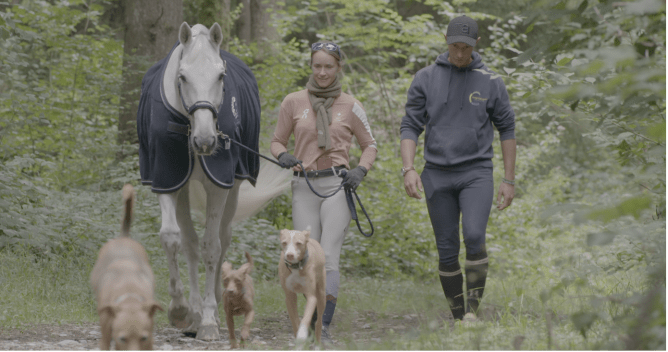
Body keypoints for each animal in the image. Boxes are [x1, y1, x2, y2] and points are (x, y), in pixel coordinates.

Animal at [90, 184, 163, 350]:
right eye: (123, 338)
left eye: (143, 338)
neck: (130, 296)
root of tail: (123, 237)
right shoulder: (106, 330)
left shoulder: (149, 337)